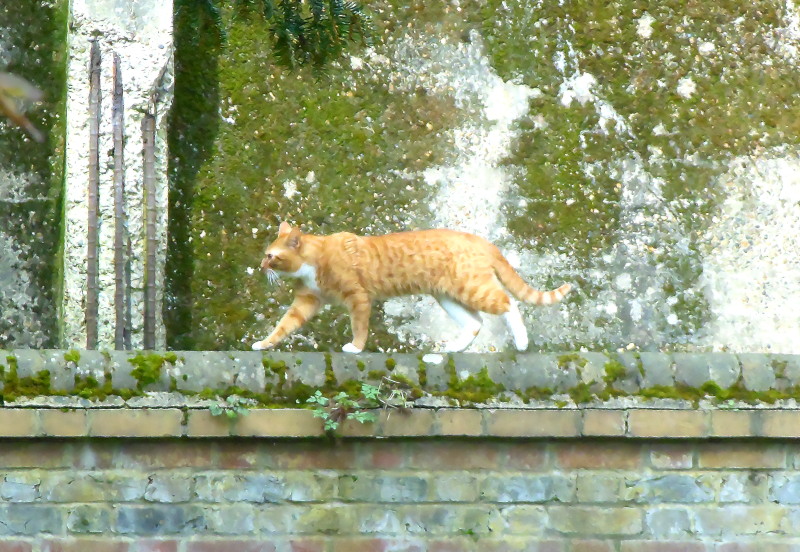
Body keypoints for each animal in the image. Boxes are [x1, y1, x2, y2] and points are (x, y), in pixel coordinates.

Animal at [253, 221, 572, 354]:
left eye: (271, 256)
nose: (260, 266)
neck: (315, 260)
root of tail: (477, 238)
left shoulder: (358, 298)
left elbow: (359, 326)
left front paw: (356, 348)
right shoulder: (306, 301)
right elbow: (284, 326)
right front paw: (264, 344)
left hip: (472, 288)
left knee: (508, 303)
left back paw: (522, 341)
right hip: (448, 297)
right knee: (475, 323)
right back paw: (454, 348)